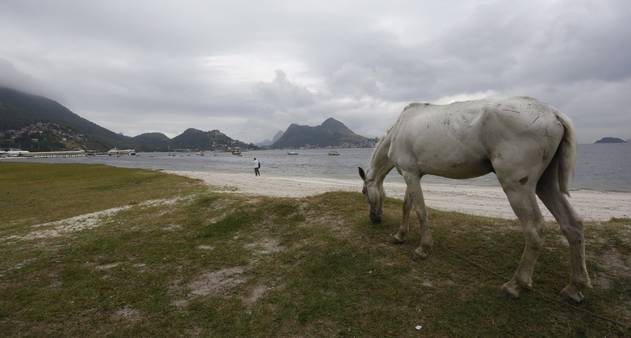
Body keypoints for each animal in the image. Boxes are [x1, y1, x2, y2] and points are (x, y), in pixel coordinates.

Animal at [360, 96, 592, 302]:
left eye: (364, 193)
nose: (374, 219)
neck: (399, 128)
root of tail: (553, 113)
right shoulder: (414, 175)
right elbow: (407, 206)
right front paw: (400, 235)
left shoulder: (410, 174)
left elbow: (420, 211)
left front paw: (423, 248)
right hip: (546, 184)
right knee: (572, 224)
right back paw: (575, 287)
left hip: (518, 187)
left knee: (534, 229)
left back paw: (515, 285)